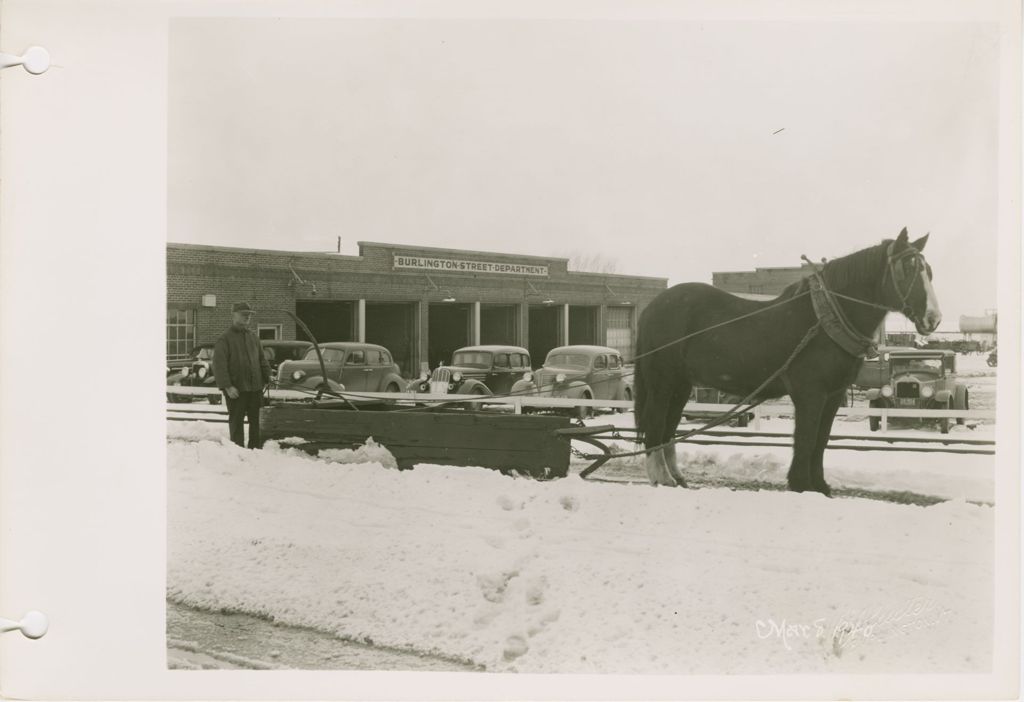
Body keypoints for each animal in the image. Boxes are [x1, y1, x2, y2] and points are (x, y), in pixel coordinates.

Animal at [634, 231, 937, 495]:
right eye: (908, 267)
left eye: (929, 270)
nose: (934, 318)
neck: (823, 321)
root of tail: (652, 308)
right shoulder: (810, 393)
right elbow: (806, 438)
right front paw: (801, 484)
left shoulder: (833, 395)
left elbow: (821, 440)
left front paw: (820, 486)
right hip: (662, 381)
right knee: (656, 423)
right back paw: (661, 478)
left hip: (681, 385)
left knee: (669, 427)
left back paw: (676, 477)